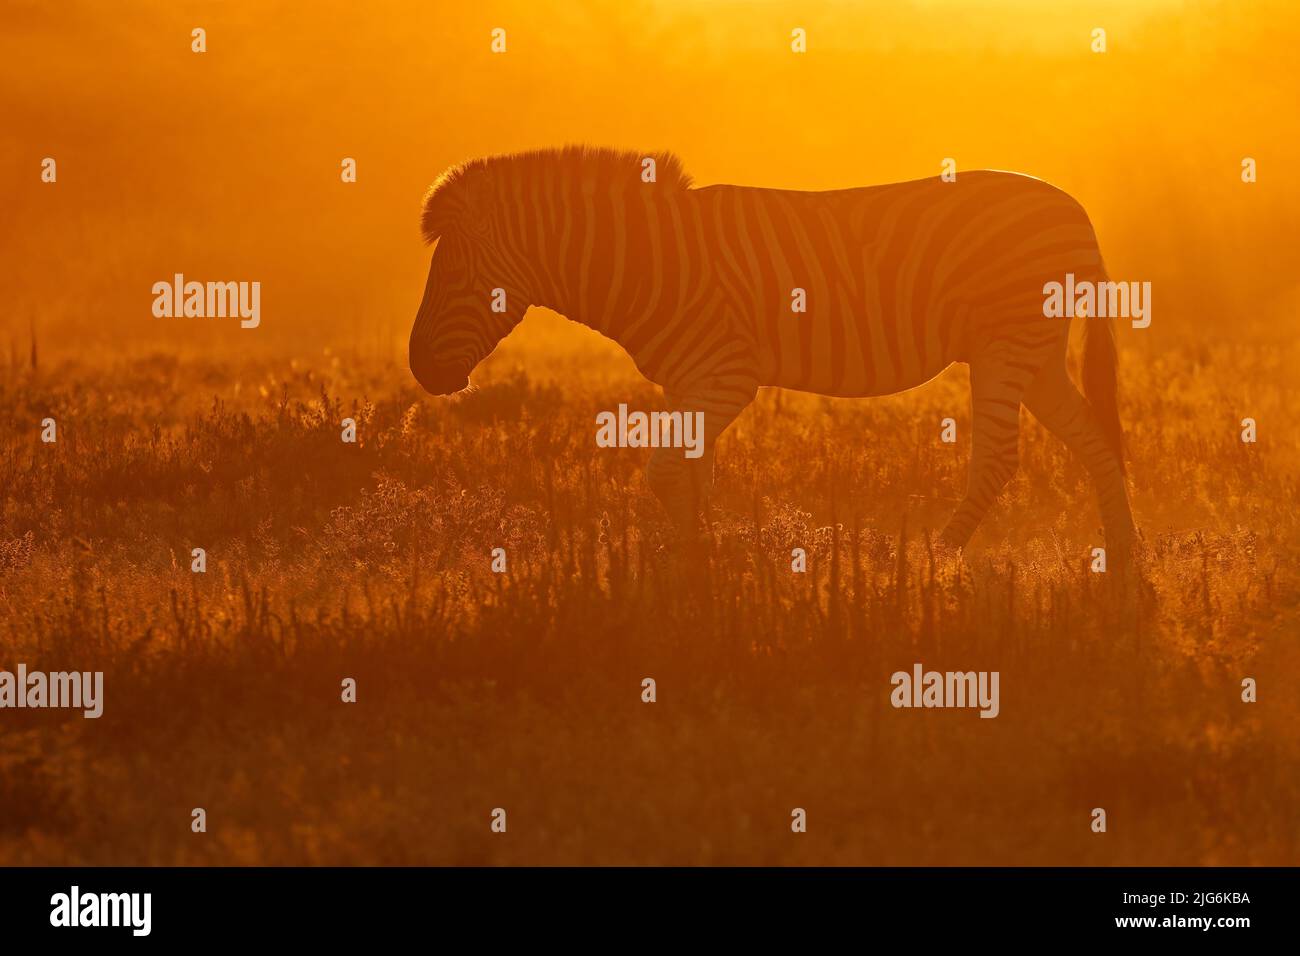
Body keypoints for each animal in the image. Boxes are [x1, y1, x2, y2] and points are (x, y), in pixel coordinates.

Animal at [408, 145, 1138, 556]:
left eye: (454, 277)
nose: (418, 368)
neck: (646, 260)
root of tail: (1078, 212)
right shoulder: (686, 383)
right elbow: (691, 474)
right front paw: (702, 566)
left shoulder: (726, 375)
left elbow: (664, 472)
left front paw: (694, 570)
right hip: (1036, 354)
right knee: (1095, 439)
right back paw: (1125, 562)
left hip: (1005, 345)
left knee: (999, 458)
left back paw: (939, 559)